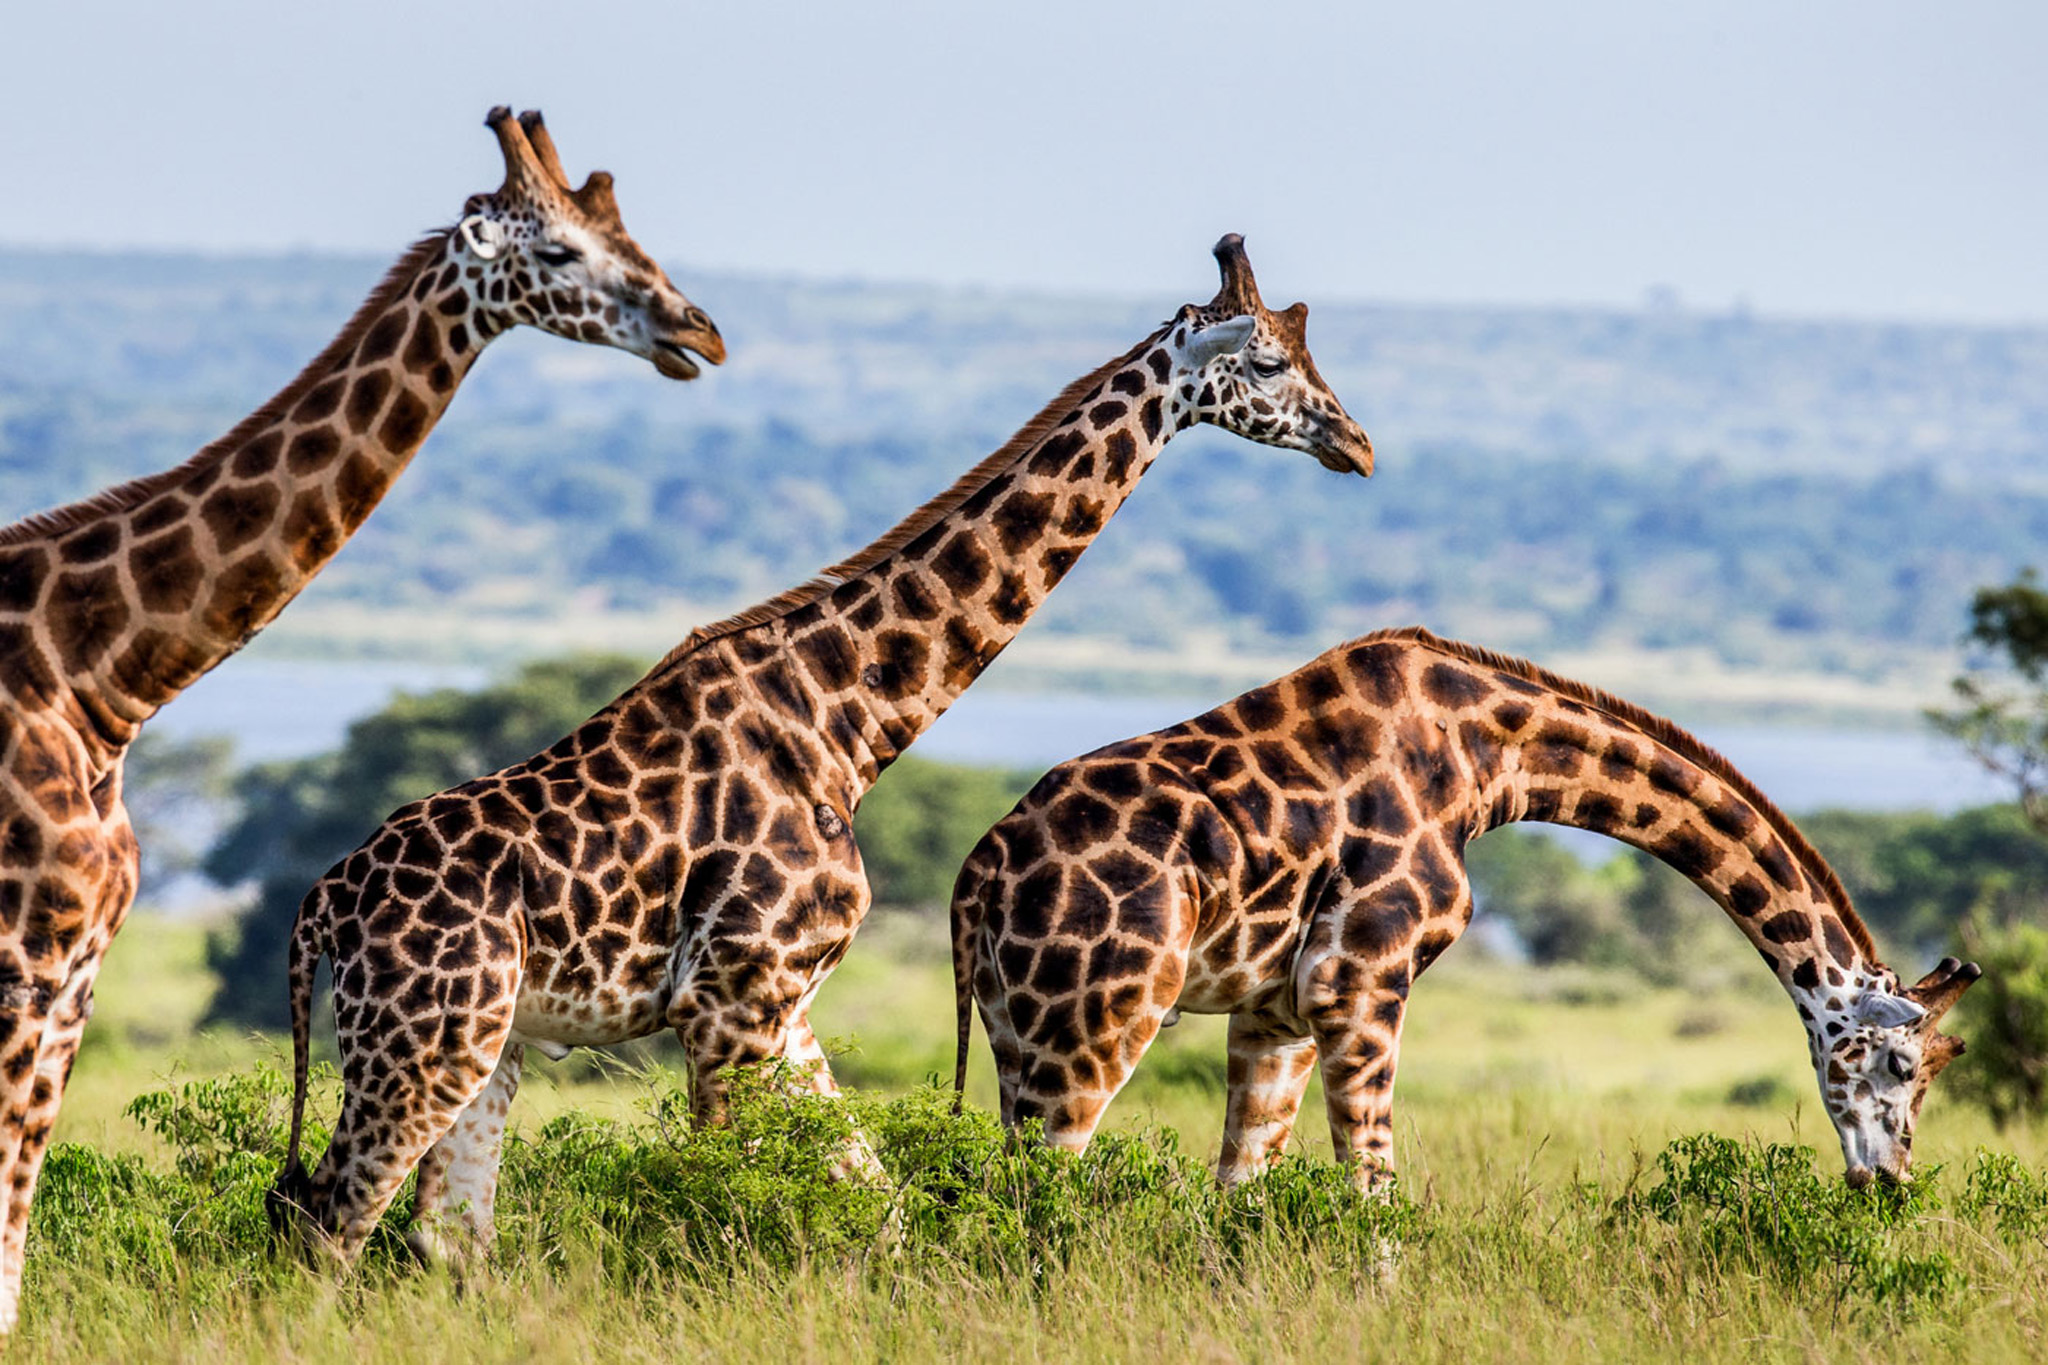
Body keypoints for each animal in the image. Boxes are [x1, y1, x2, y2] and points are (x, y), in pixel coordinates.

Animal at [268, 235, 1374, 1267]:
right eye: (1268, 361)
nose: (1356, 444)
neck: (846, 722)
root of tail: (321, 909)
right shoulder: (727, 1000)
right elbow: (718, 1198)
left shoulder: (783, 1005)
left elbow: (878, 1204)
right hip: (421, 1037)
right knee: (328, 1216)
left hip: (482, 1041)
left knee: (439, 1233)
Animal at [950, 626, 1981, 1193]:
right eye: (1900, 1063)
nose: (1887, 1181)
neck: (1488, 759)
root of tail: (979, 874)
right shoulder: (1360, 982)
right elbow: (1372, 1186)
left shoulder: (1278, 1010)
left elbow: (1241, 1182)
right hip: (1100, 1019)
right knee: (1040, 1179)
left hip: (1017, 1028)